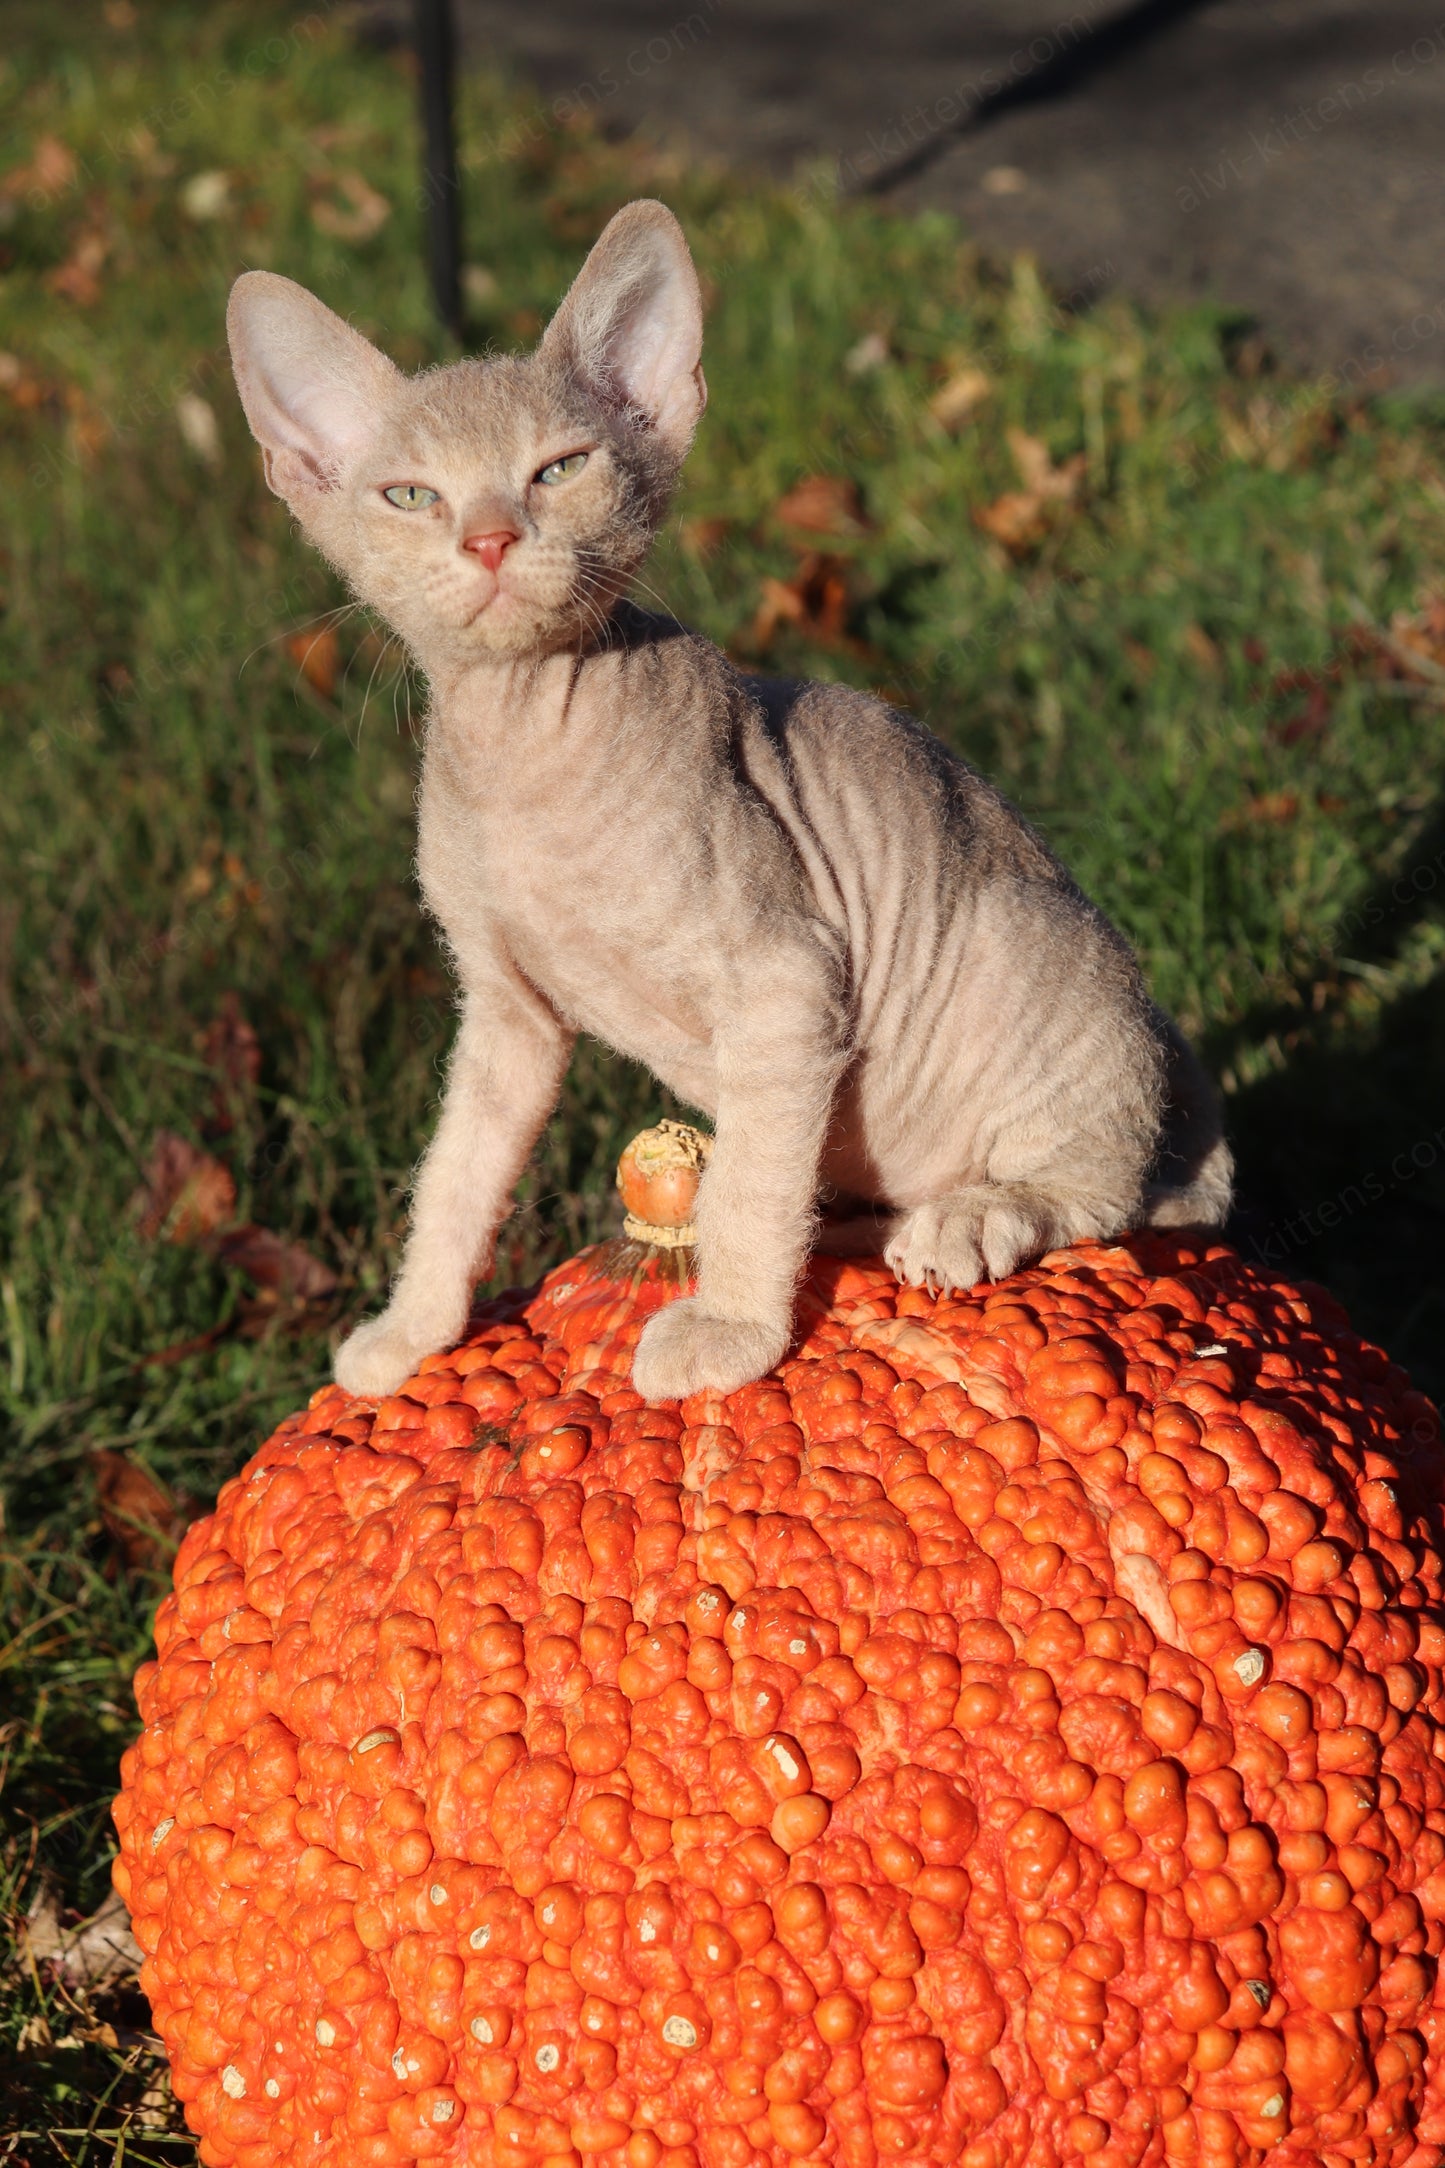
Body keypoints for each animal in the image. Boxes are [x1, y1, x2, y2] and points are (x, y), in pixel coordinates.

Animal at [226, 195, 1230, 1396]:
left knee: (1108, 1193)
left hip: (1024, 956)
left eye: (558, 470)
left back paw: (968, 1217)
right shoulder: (506, 1015)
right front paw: (413, 1328)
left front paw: (733, 1332)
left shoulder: (786, 987)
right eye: (410, 496)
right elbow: (455, 1174)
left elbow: (749, 1184)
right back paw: (857, 1225)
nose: (490, 539)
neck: (523, 746)